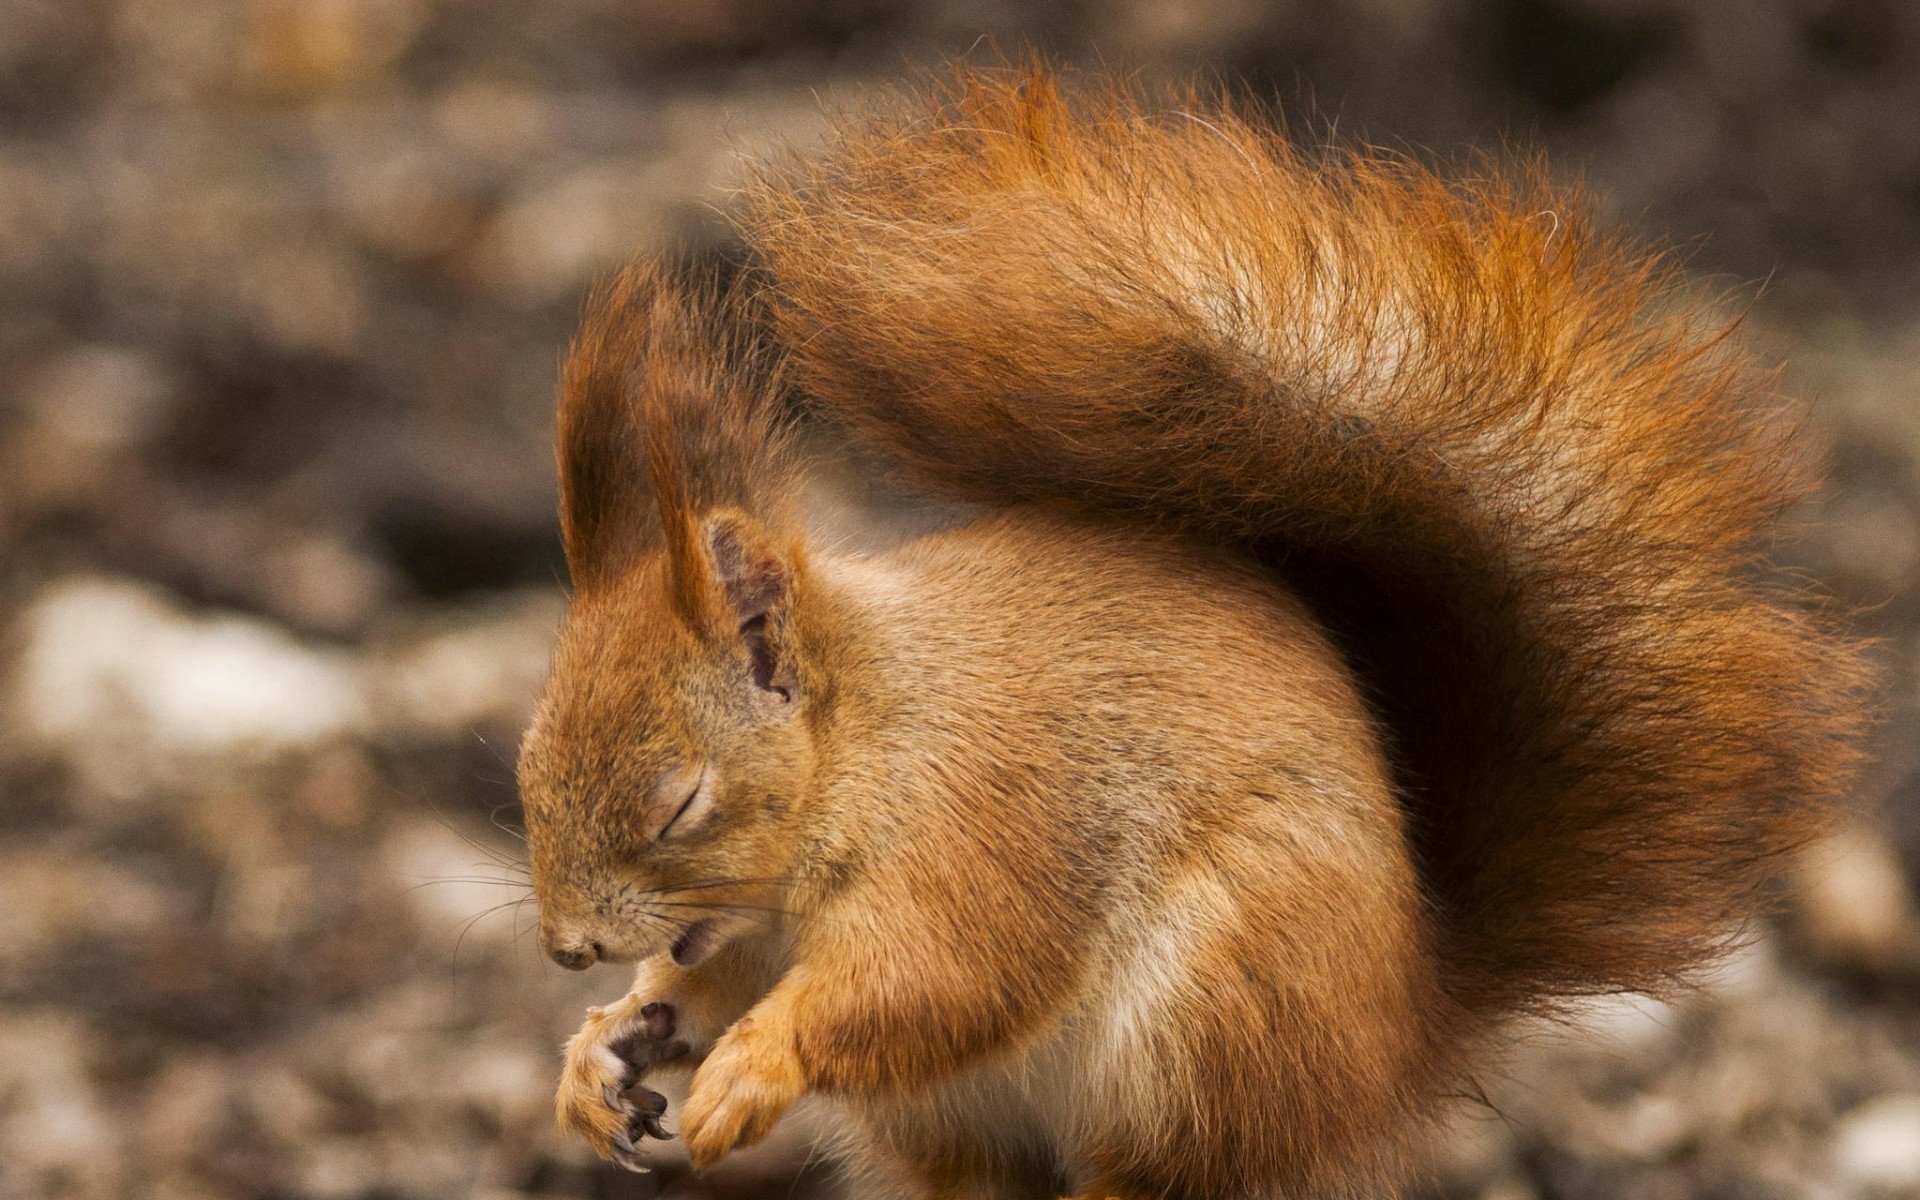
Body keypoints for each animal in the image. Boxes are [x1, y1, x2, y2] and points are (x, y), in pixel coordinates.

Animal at [515, 69, 1869, 1199]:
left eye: (680, 804)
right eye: (521, 777)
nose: (569, 951)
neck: (868, 738)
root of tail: (1399, 1036)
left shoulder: (984, 828)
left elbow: (939, 977)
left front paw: (749, 1066)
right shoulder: (749, 933)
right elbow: (703, 982)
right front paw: (605, 1051)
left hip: (1217, 1012)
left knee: (1182, 1172)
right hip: (967, 1117)